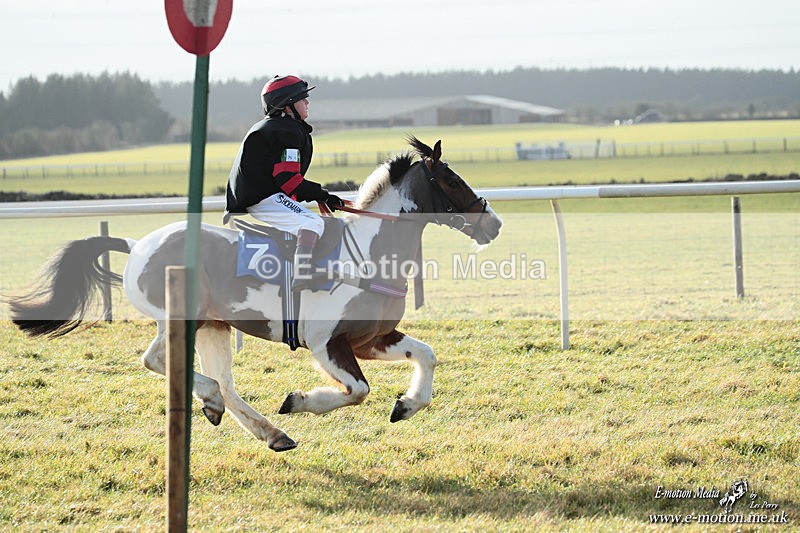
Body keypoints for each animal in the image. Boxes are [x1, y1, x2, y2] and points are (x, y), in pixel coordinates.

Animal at [6, 137, 503, 452]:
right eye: (452, 181)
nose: (493, 223)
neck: (367, 253)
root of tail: (136, 244)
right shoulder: (326, 343)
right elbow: (358, 390)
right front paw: (300, 401)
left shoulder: (370, 338)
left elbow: (427, 354)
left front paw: (407, 404)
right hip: (179, 319)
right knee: (159, 361)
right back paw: (215, 403)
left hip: (214, 325)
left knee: (224, 382)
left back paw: (270, 433)